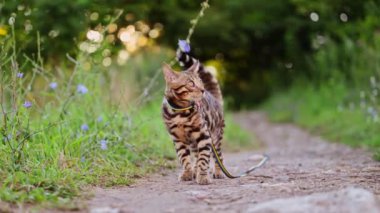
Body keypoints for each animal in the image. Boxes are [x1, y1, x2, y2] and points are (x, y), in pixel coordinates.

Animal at [162, 51, 224, 185]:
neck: (180, 112)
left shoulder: (204, 136)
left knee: (218, 157)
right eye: (191, 83)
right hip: (194, 142)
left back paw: (218, 172)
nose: (203, 90)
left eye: (200, 81)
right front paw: (187, 173)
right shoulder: (177, 139)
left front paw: (203, 176)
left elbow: (204, 159)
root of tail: (214, 97)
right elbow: (184, 159)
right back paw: (195, 171)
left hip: (216, 137)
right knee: (196, 155)